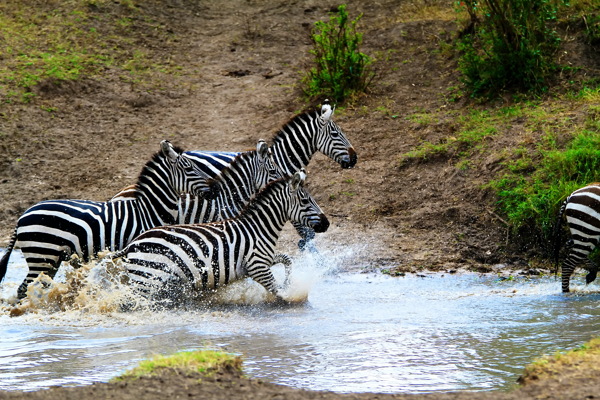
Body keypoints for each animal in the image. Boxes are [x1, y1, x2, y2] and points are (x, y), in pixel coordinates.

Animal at [0, 139, 211, 298]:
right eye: (190, 168)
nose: (214, 188)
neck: (149, 210)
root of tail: (21, 217)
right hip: (41, 255)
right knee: (24, 289)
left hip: (50, 259)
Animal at [104, 169, 328, 304]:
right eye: (306, 201)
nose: (326, 224)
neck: (258, 228)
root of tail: (133, 244)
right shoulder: (258, 267)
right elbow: (279, 292)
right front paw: (291, 296)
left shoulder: (262, 260)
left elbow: (287, 260)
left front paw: (289, 283)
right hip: (147, 281)